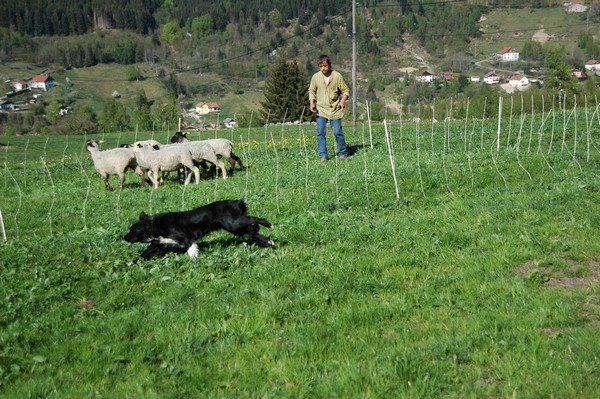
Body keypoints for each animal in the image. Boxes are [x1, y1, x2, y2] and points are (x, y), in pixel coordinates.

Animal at [124, 199, 274, 260]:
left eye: (132, 230)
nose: (123, 237)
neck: (156, 225)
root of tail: (236, 202)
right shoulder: (159, 244)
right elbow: (143, 255)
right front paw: (128, 264)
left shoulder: (187, 238)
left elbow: (191, 252)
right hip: (237, 229)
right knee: (253, 232)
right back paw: (270, 243)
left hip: (234, 224)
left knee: (254, 219)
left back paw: (269, 224)